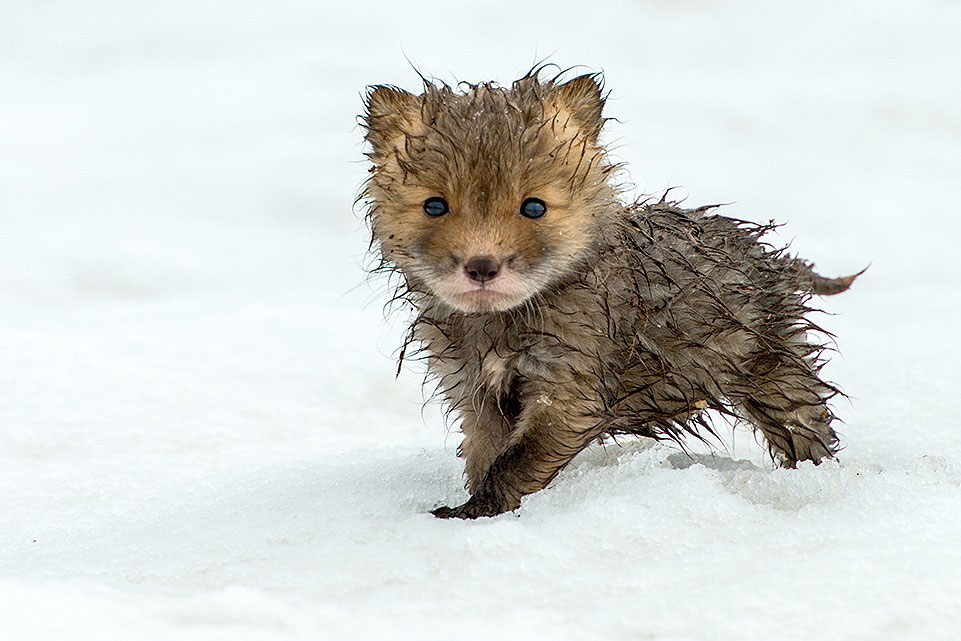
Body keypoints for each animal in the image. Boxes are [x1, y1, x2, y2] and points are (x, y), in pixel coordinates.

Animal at [360, 68, 861, 519]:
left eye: (534, 207)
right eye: (435, 205)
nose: (481, 266)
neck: (499, 326)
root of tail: (766, 256)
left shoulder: (572, 385)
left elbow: (516, 461)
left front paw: (477, 510)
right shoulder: (471, 386)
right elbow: (485, 453)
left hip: (774, 368)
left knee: (806, 423)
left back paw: (815, 481)